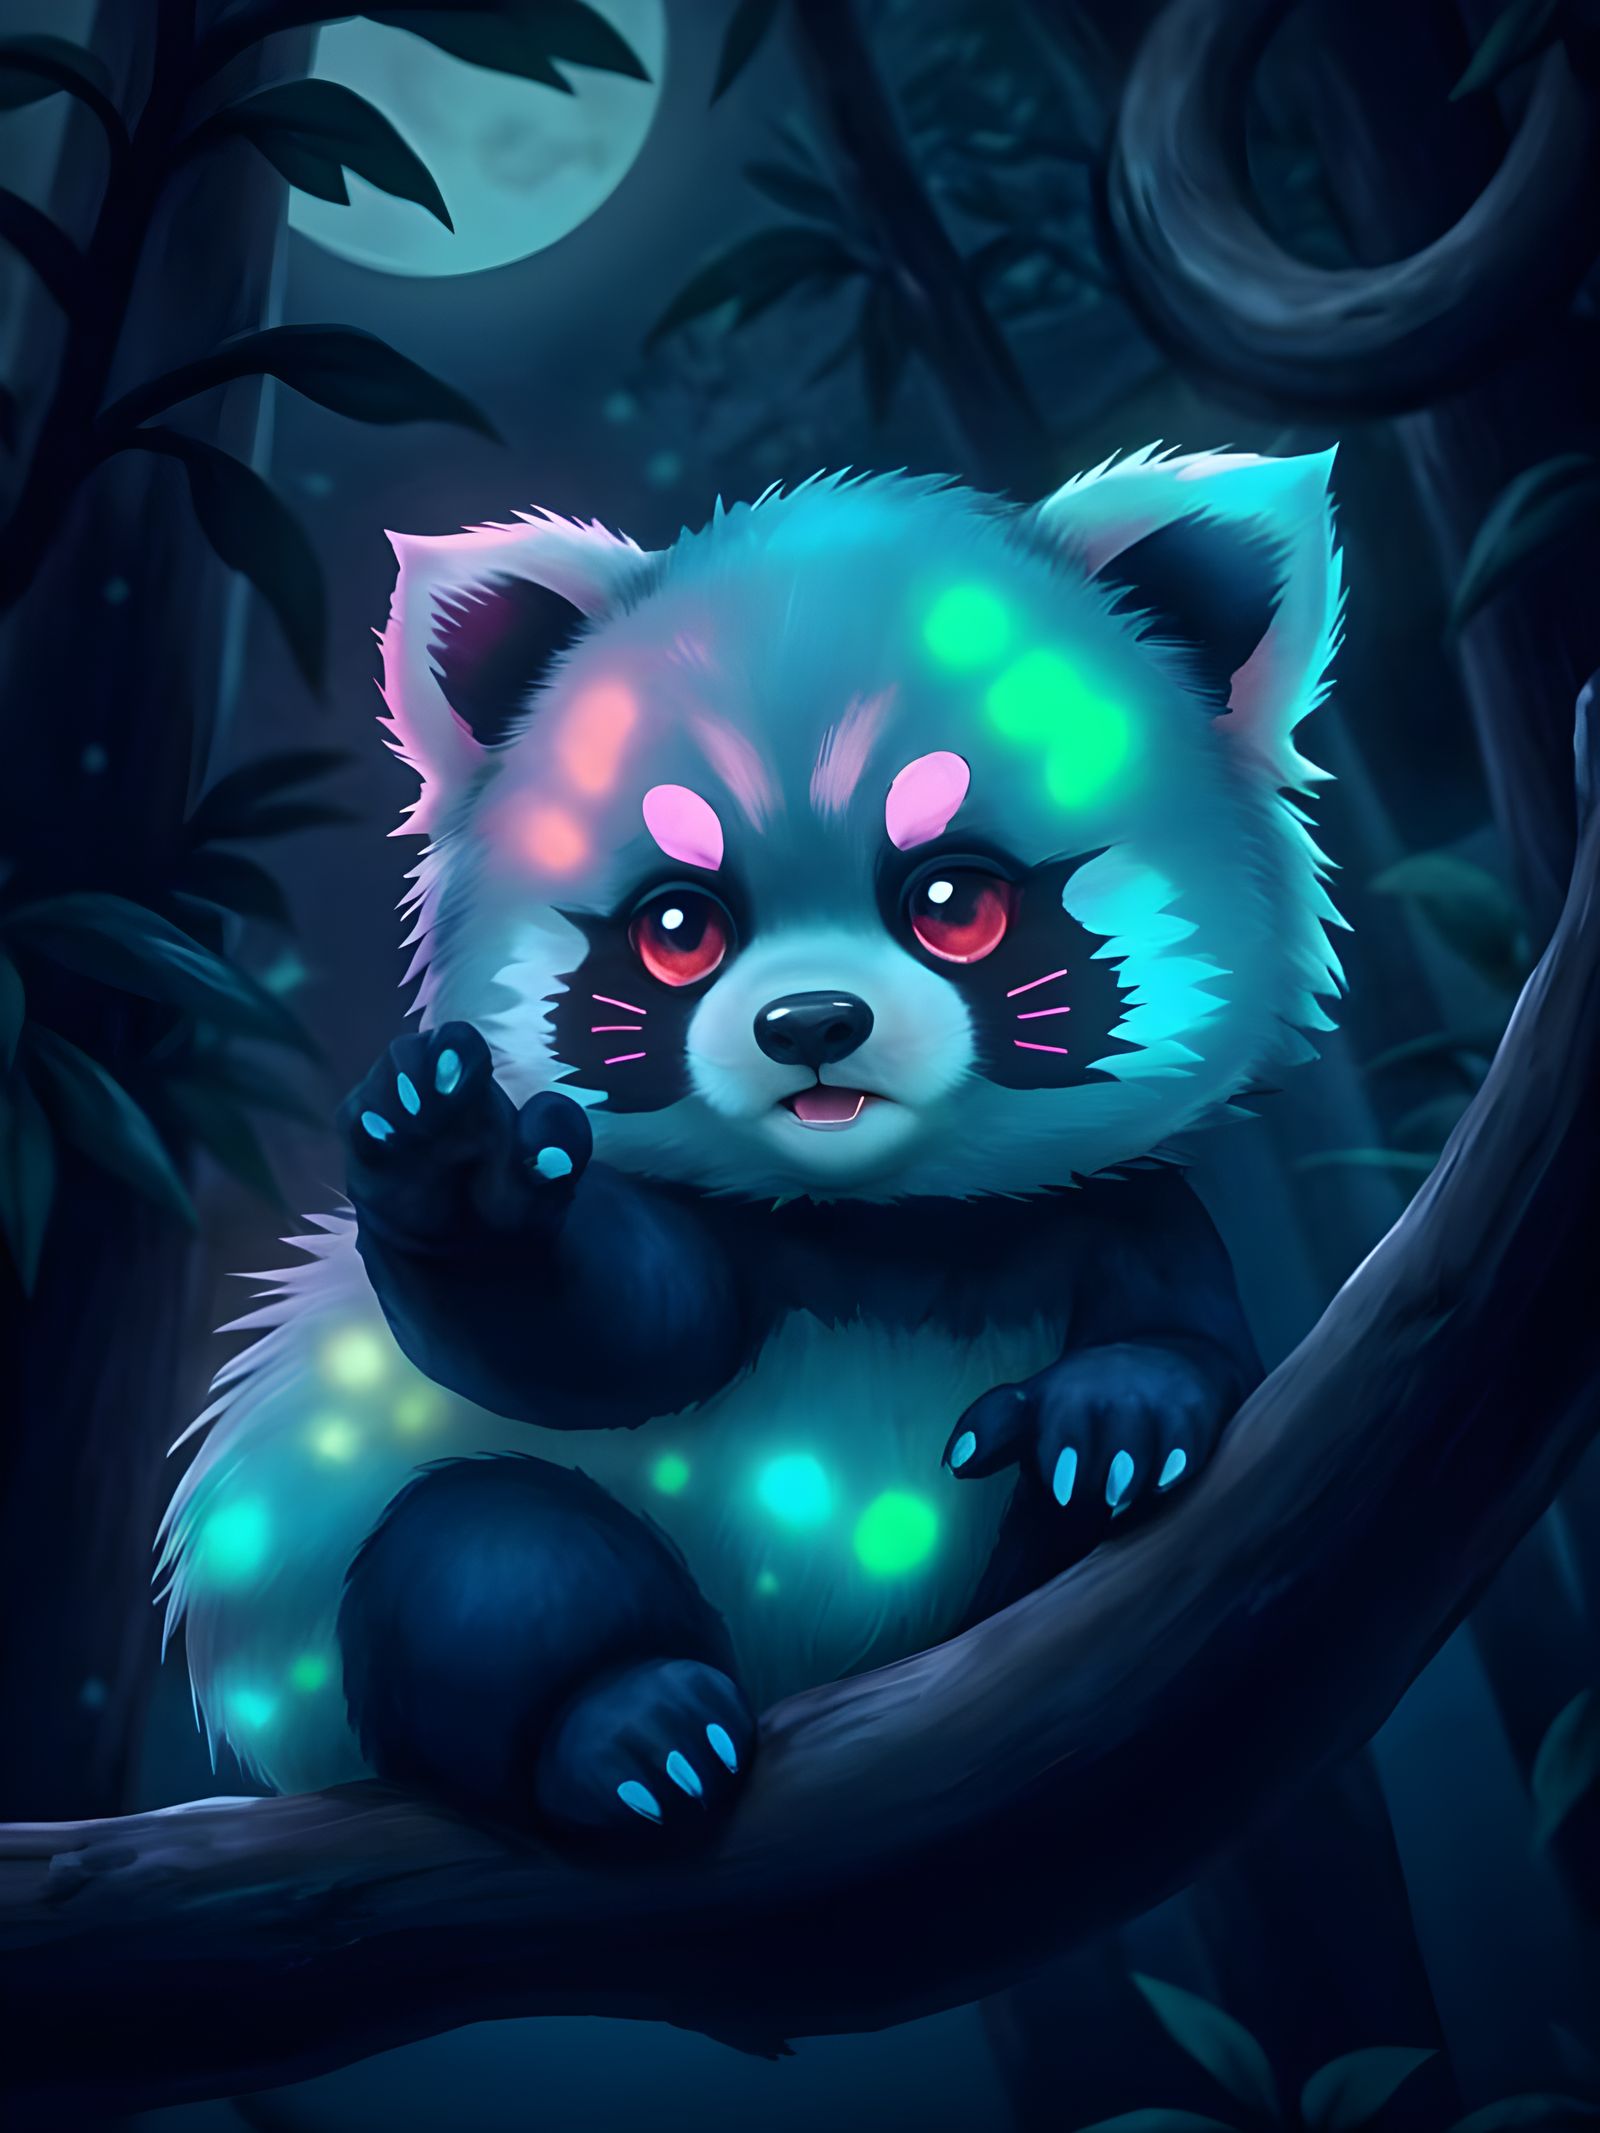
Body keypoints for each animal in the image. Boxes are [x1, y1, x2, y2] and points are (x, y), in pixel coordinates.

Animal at [158, 449, 1344, 1843]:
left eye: (956, 902)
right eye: (678, 927)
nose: (812, 1024)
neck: (883, 1222)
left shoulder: (1104, 1205)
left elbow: (1191, 1331)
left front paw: (1115, 1418)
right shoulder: (713, 1227)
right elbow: (598, 1342)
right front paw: (461, 1176)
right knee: (480, 1561)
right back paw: (631, 1728)